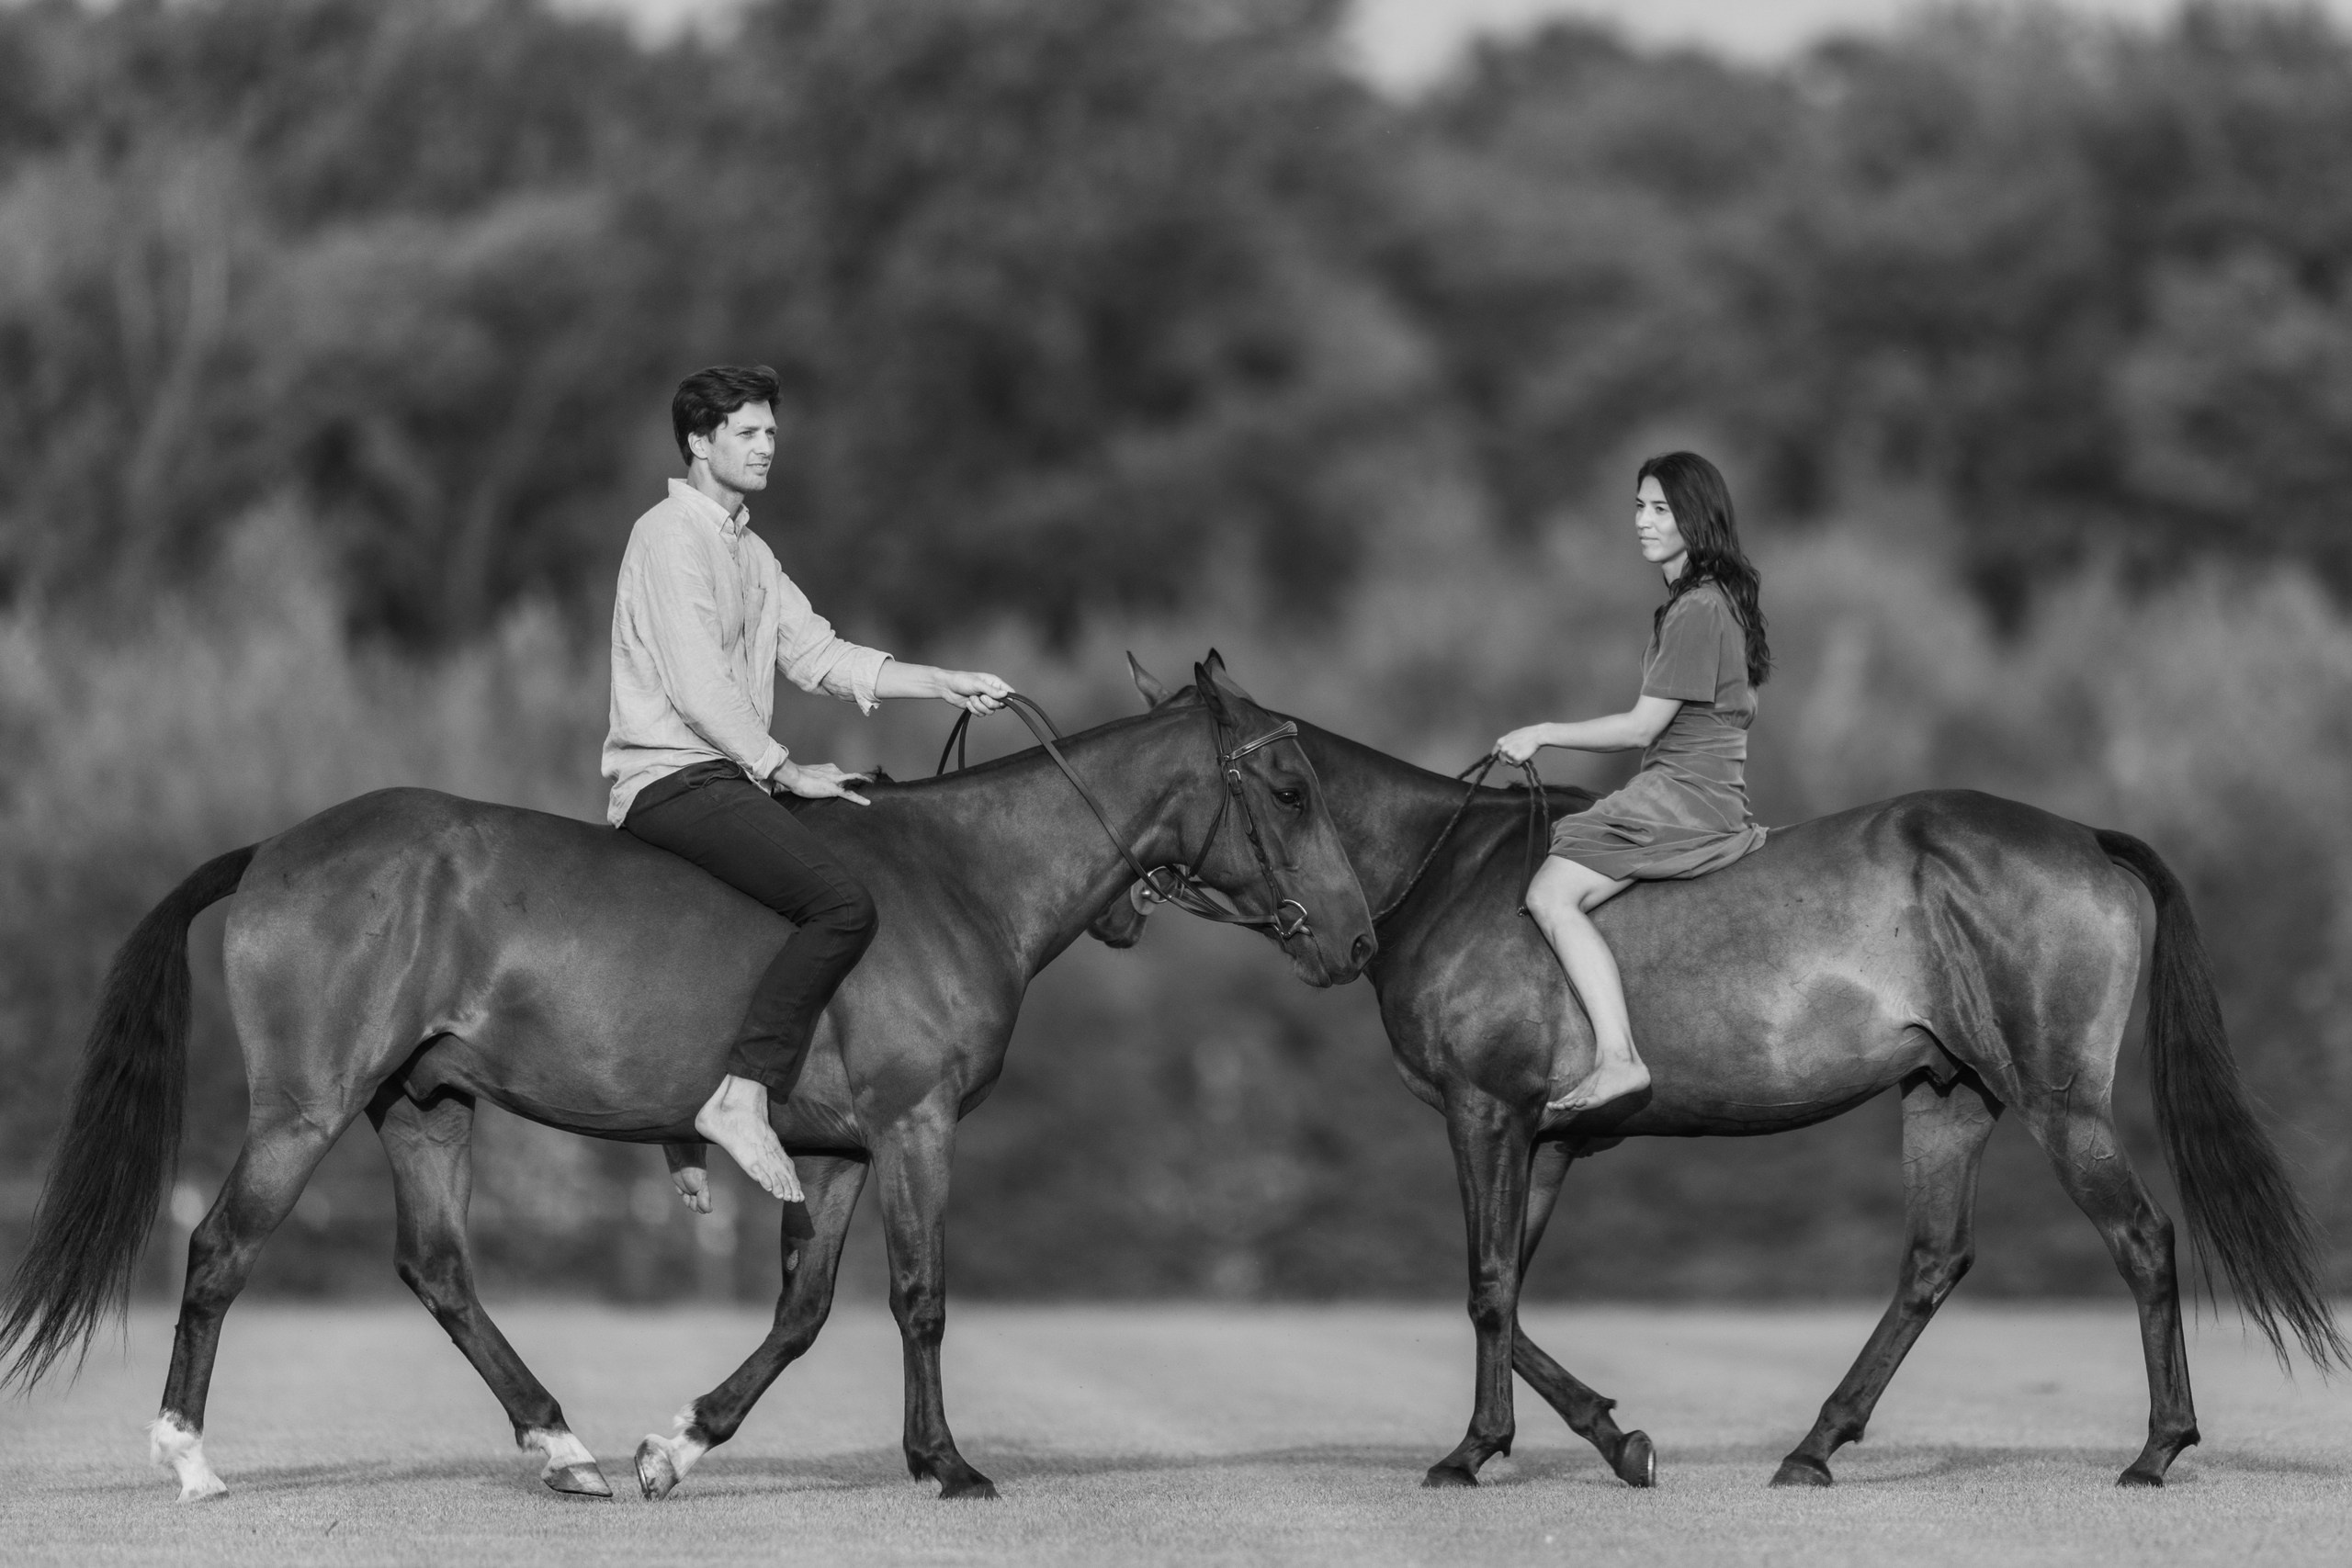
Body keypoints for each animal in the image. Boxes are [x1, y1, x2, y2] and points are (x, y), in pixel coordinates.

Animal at [0, 668, 1376, 1503]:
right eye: (1289, 785)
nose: (1359, 942)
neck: (961, 876)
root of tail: (278, 848)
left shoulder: (835, 1152)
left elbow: (805, 1312)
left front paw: (679, 1442)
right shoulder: (914, 1128)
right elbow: (921, 1298)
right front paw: (948, 1465)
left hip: (424, 1108)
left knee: (438, 1271)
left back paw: (563, 1445)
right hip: (307, 1108)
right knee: (221, 1249)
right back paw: (188, 1459)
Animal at [1100, 654, 2342, 1490]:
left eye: (1291, 790)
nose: (1334, 945)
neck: (1446, 876)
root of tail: (2083, 836)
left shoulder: (1484, 1115)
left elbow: (1486, 1286)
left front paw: (1504, 1452)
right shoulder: (1543, 1138)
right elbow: (1509, 1288)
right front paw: (1574, 1439)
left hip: (2055, 1102)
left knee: (2141, 1239)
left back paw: (2155, 1451)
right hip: (1949, 1097)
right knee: (1931, 1264)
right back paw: (1815, 1446)